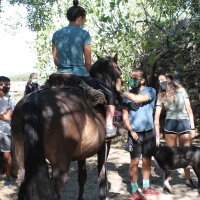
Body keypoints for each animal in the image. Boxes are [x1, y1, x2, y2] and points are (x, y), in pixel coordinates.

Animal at [11, 54, 122, 199]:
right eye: (119, 71)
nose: (120, 97)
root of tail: (34, 100)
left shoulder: (82, 152)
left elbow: (82, 177)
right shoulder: (104, 146)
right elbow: (102, 177)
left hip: (25, 165)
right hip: (60, 166)